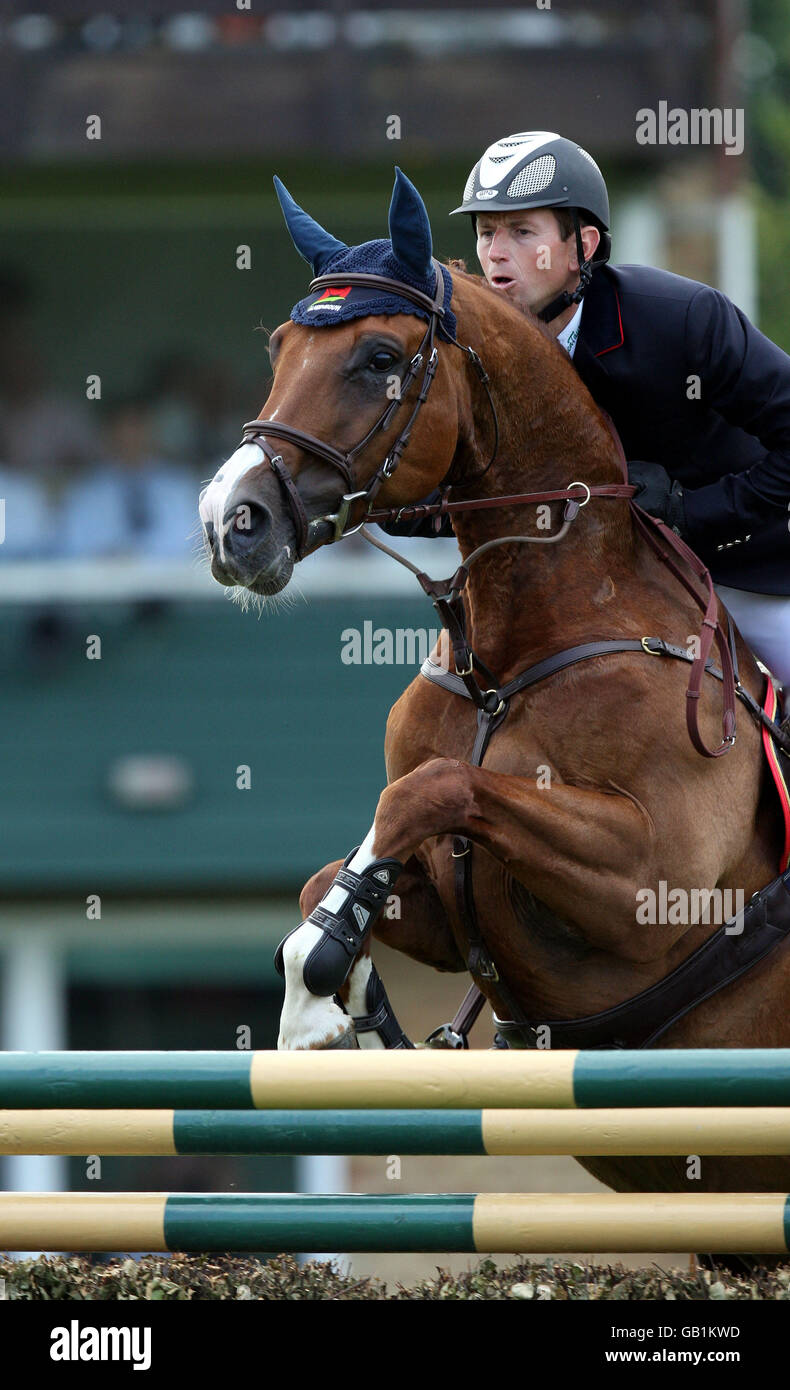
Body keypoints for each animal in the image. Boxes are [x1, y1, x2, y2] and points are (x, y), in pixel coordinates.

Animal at [199, 168, 790, 1207]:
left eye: (379, 357)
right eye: (279, 349)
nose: (231, 523)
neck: (510, 657)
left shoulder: (648, 884)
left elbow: (434, 787)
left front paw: (312, 1003)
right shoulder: (456, 904)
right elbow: (359, 852)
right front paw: (351, 998)